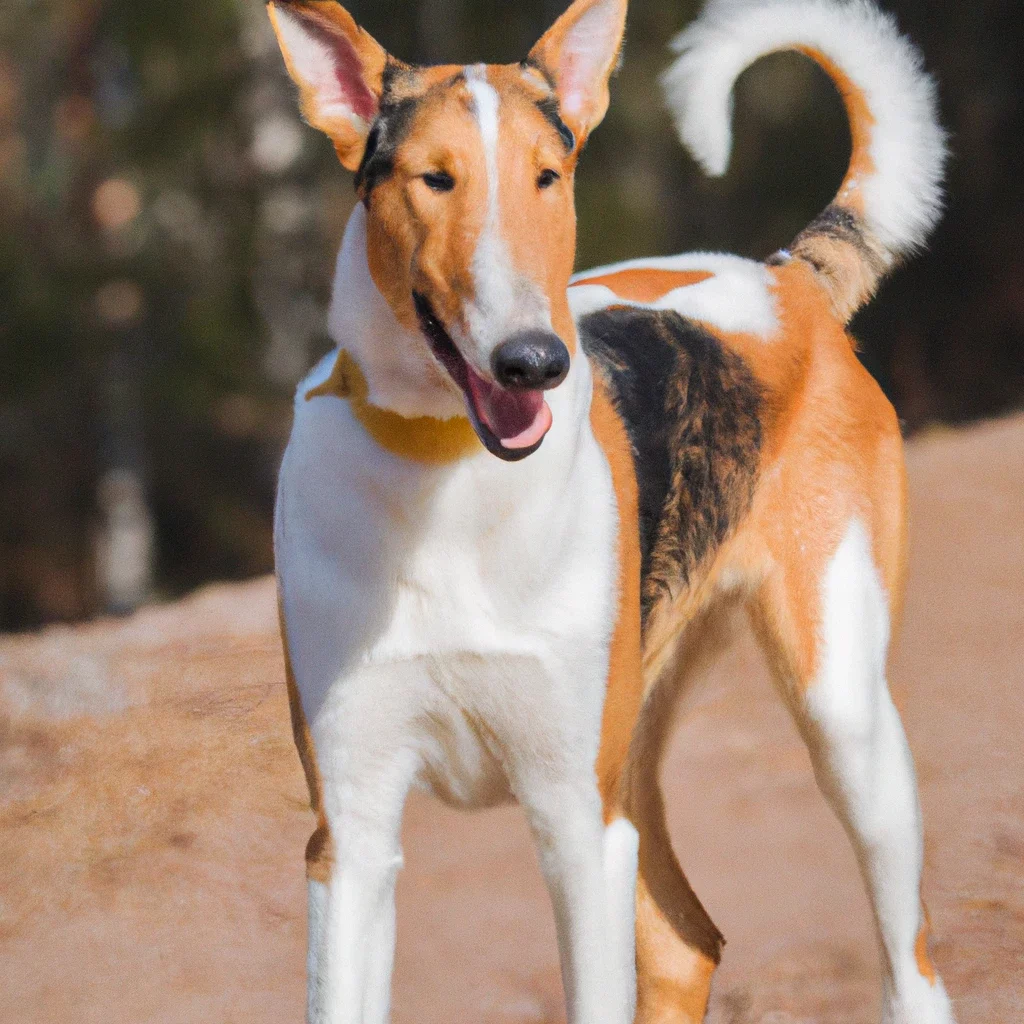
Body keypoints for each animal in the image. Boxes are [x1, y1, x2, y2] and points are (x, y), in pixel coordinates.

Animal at [270, 0, 950, 1019]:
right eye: (435, 179)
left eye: (548, 178)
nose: (533, 362)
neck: (447, 476)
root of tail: (784, 279)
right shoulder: (349, 840)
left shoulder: (576, 823)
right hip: (641, 764)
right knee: (688, 944)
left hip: (844, 719)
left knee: (912, 963)